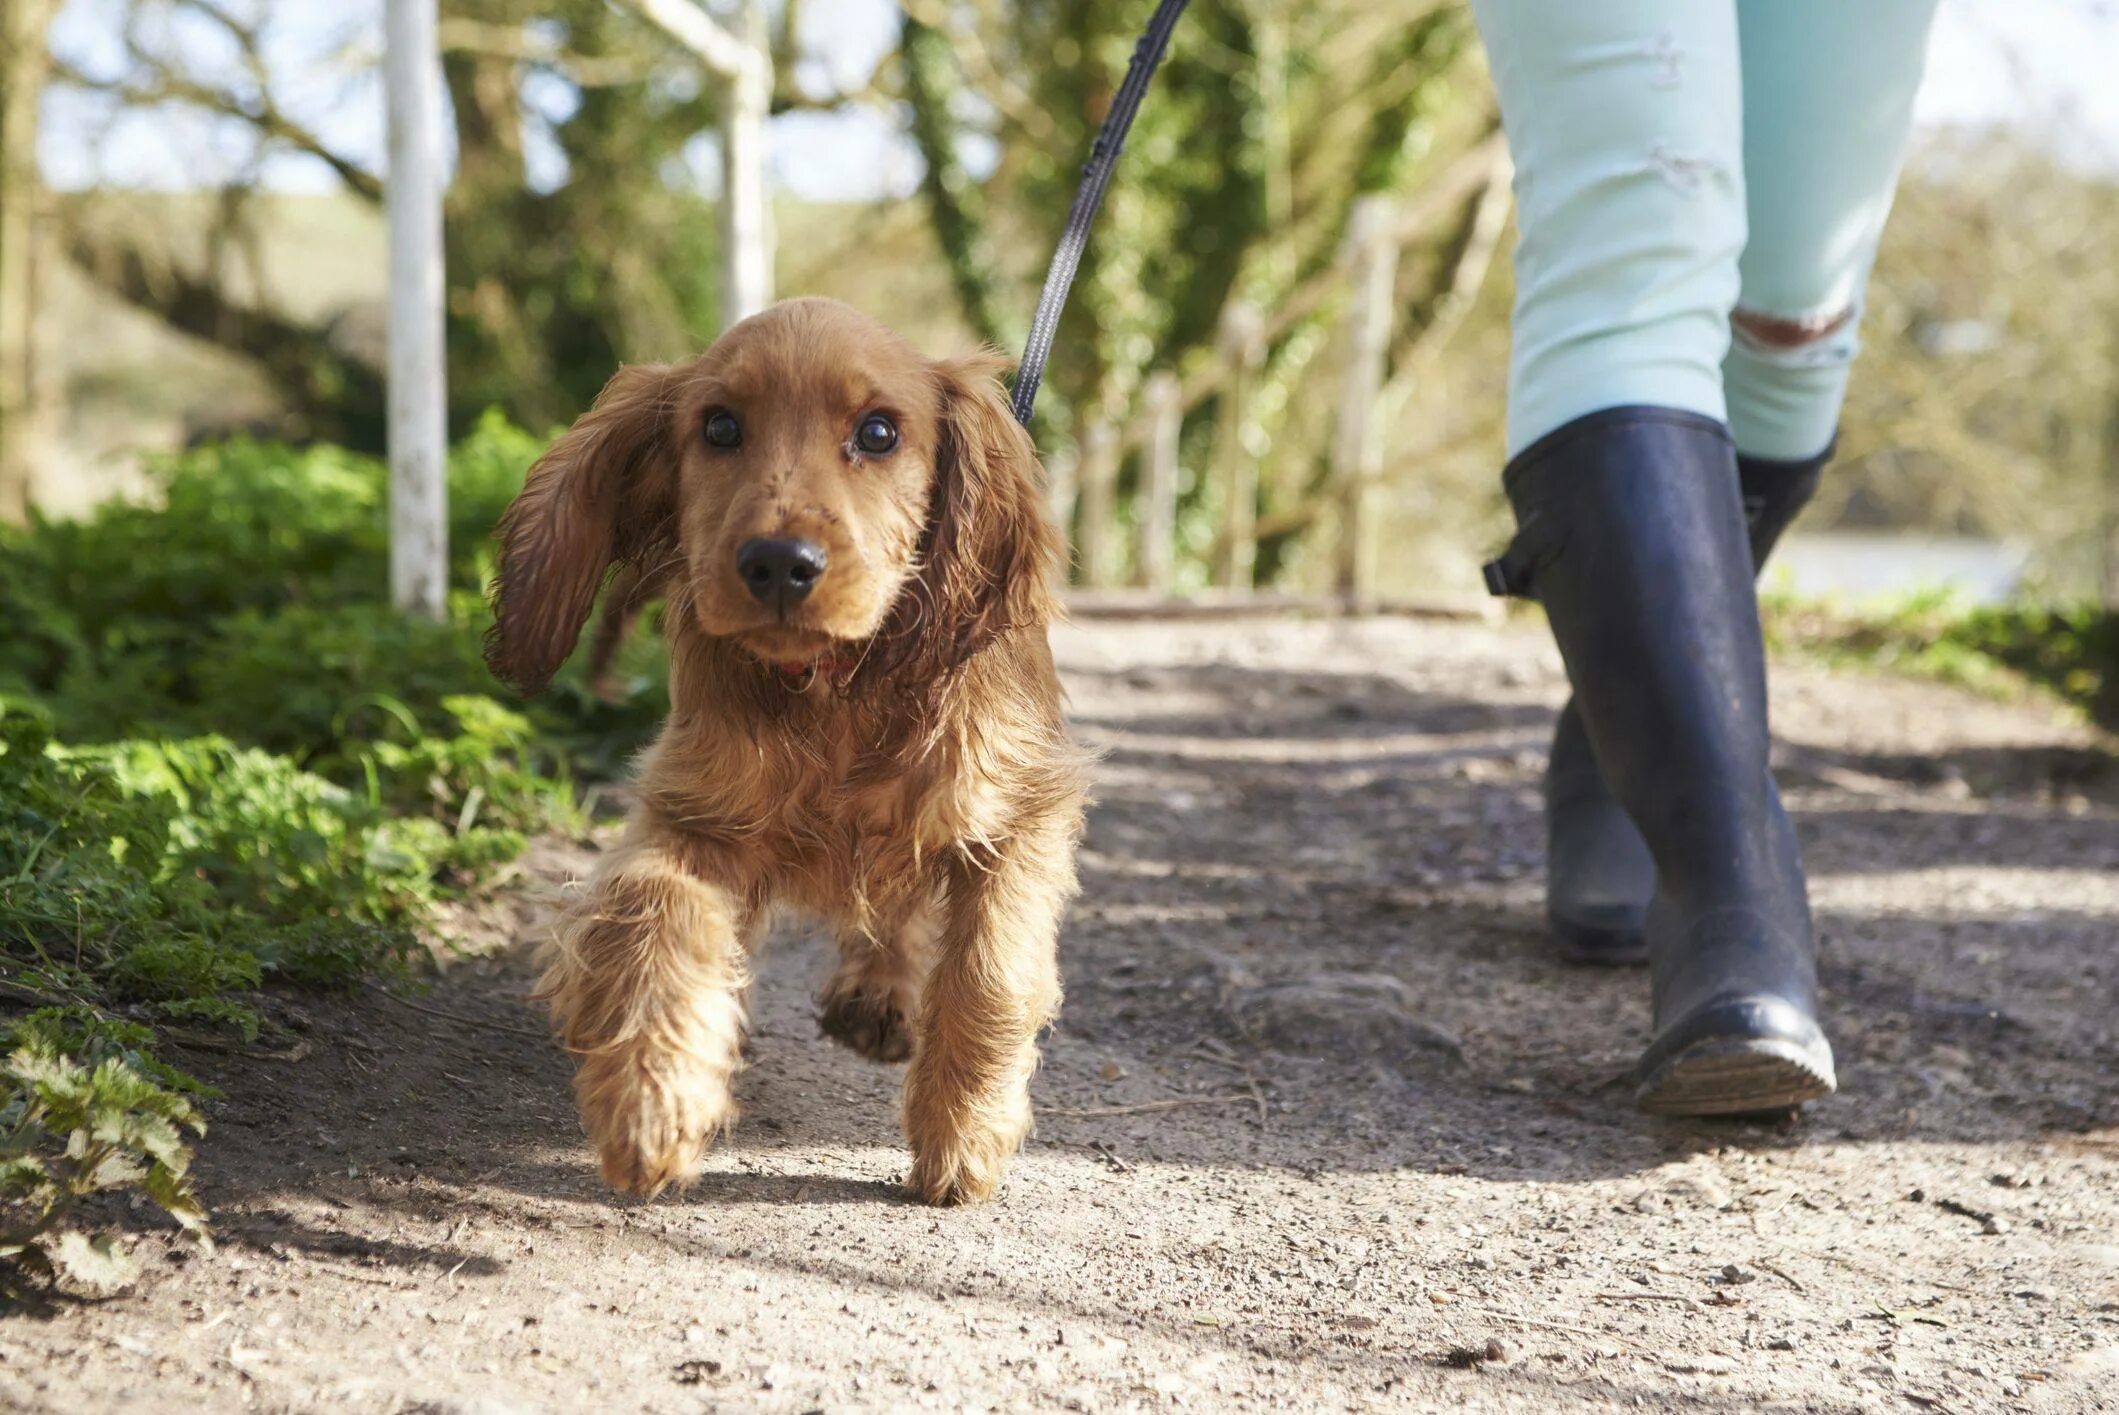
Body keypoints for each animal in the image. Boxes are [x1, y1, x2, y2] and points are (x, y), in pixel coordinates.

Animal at [489, 298, 1093, 1203]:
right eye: (719, 427)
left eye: (878, 433)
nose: (778, 564)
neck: (834, 687)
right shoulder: (691, 815)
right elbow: (651, 910)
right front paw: (652, 1101)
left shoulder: (1018, 812)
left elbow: (989, 972)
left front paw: (962, 1136)